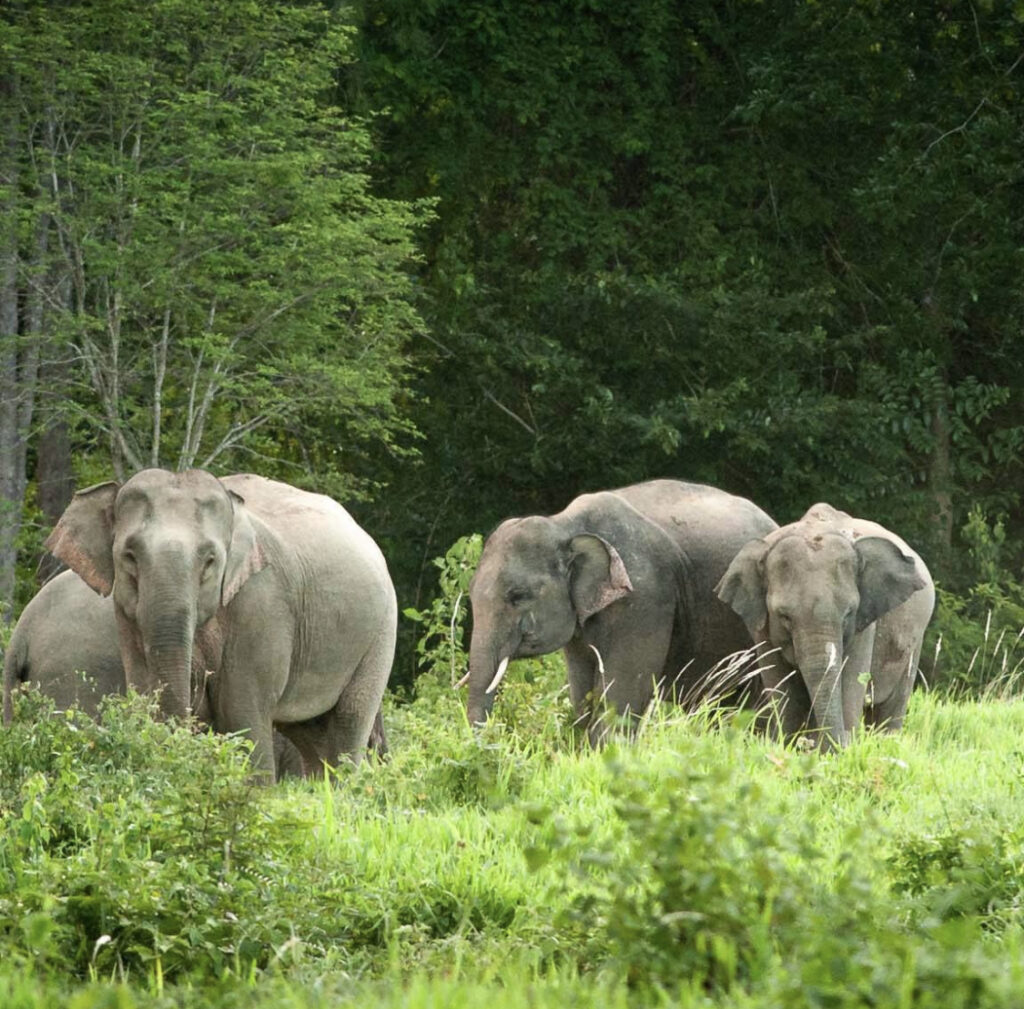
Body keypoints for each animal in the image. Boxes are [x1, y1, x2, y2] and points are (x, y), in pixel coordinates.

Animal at [44, 469, 397, 780]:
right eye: (129, 555)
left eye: (210, 560)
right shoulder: (126, 619)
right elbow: (145, 693)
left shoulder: (262, 606)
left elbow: (242, 713)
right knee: (313, 740)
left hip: (381, 632)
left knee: (348, 724)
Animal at [715, 502, 935, 751]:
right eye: (784, 616)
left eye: (848, 613)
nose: (814, 747)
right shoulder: (761, 624)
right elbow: (782, 684)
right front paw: (787, 746)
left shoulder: (865, 623)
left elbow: (850, 677)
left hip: (915, 639)